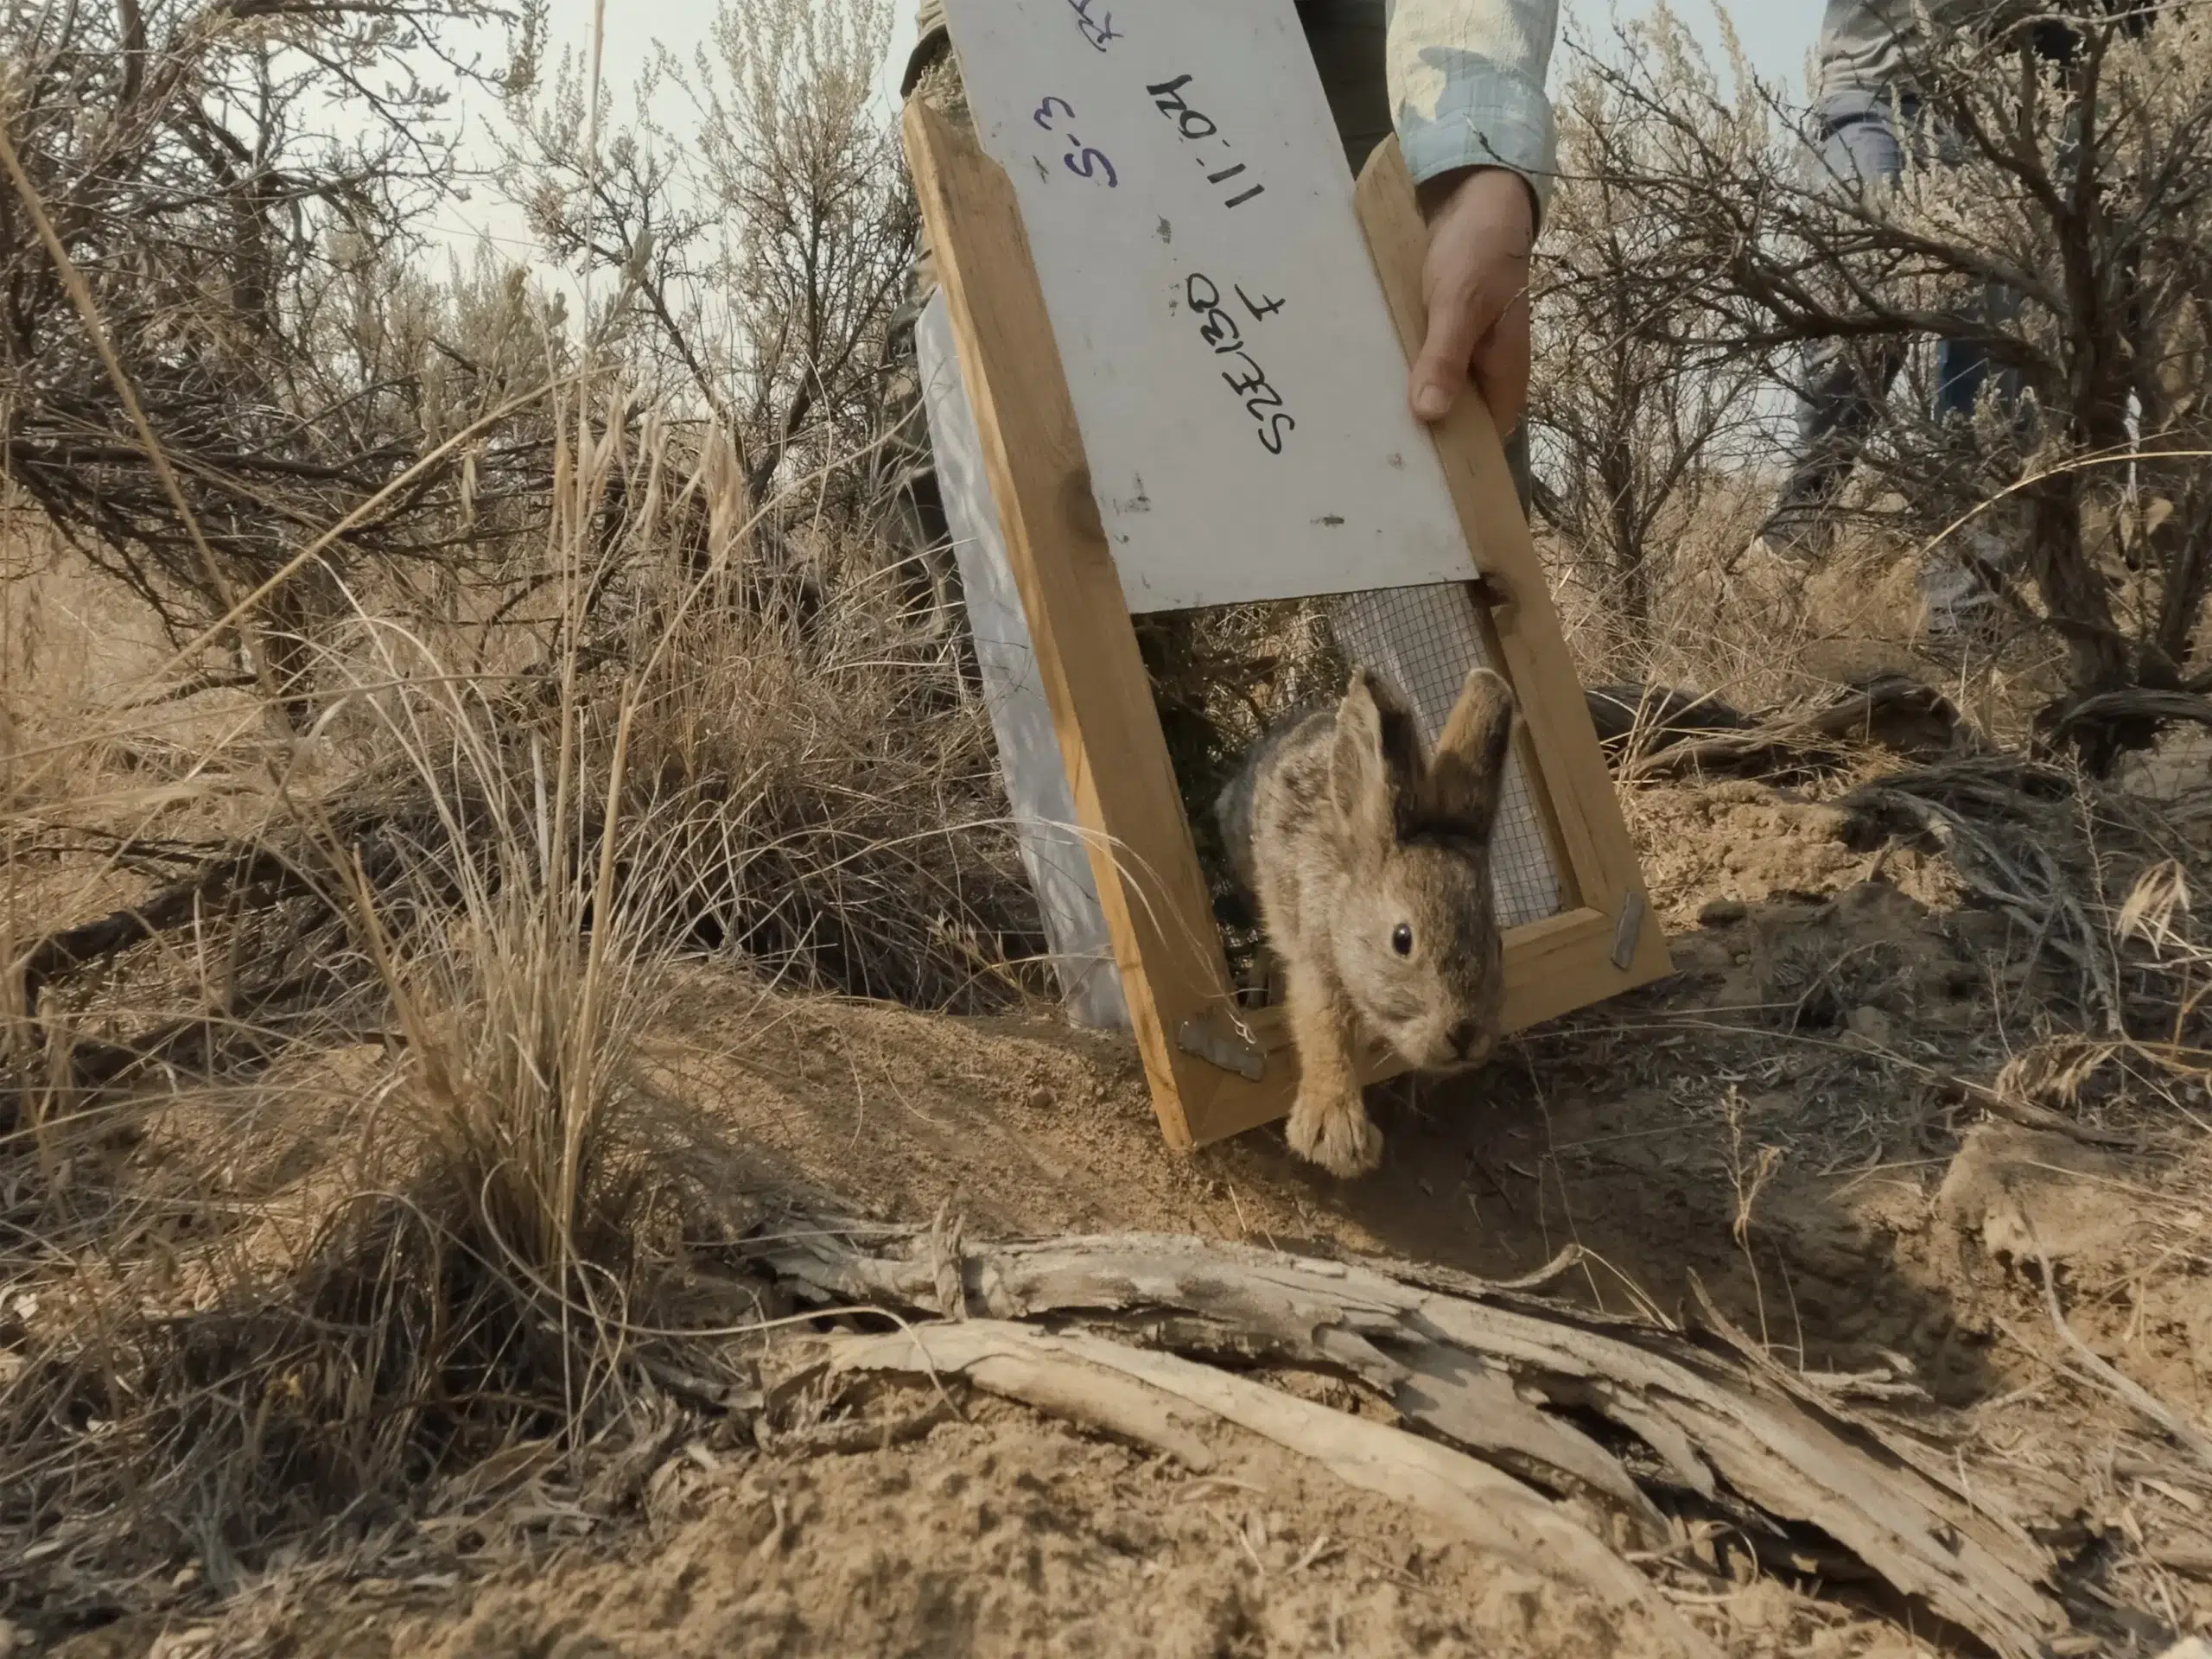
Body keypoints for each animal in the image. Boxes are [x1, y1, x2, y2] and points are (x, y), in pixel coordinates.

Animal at [1215, 665, 1519, 1177]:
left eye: (1496, 942)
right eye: (1402, 939)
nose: (1464, 1036)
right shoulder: (1315, 956)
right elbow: (1321, 1026)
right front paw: (1335, 1135)